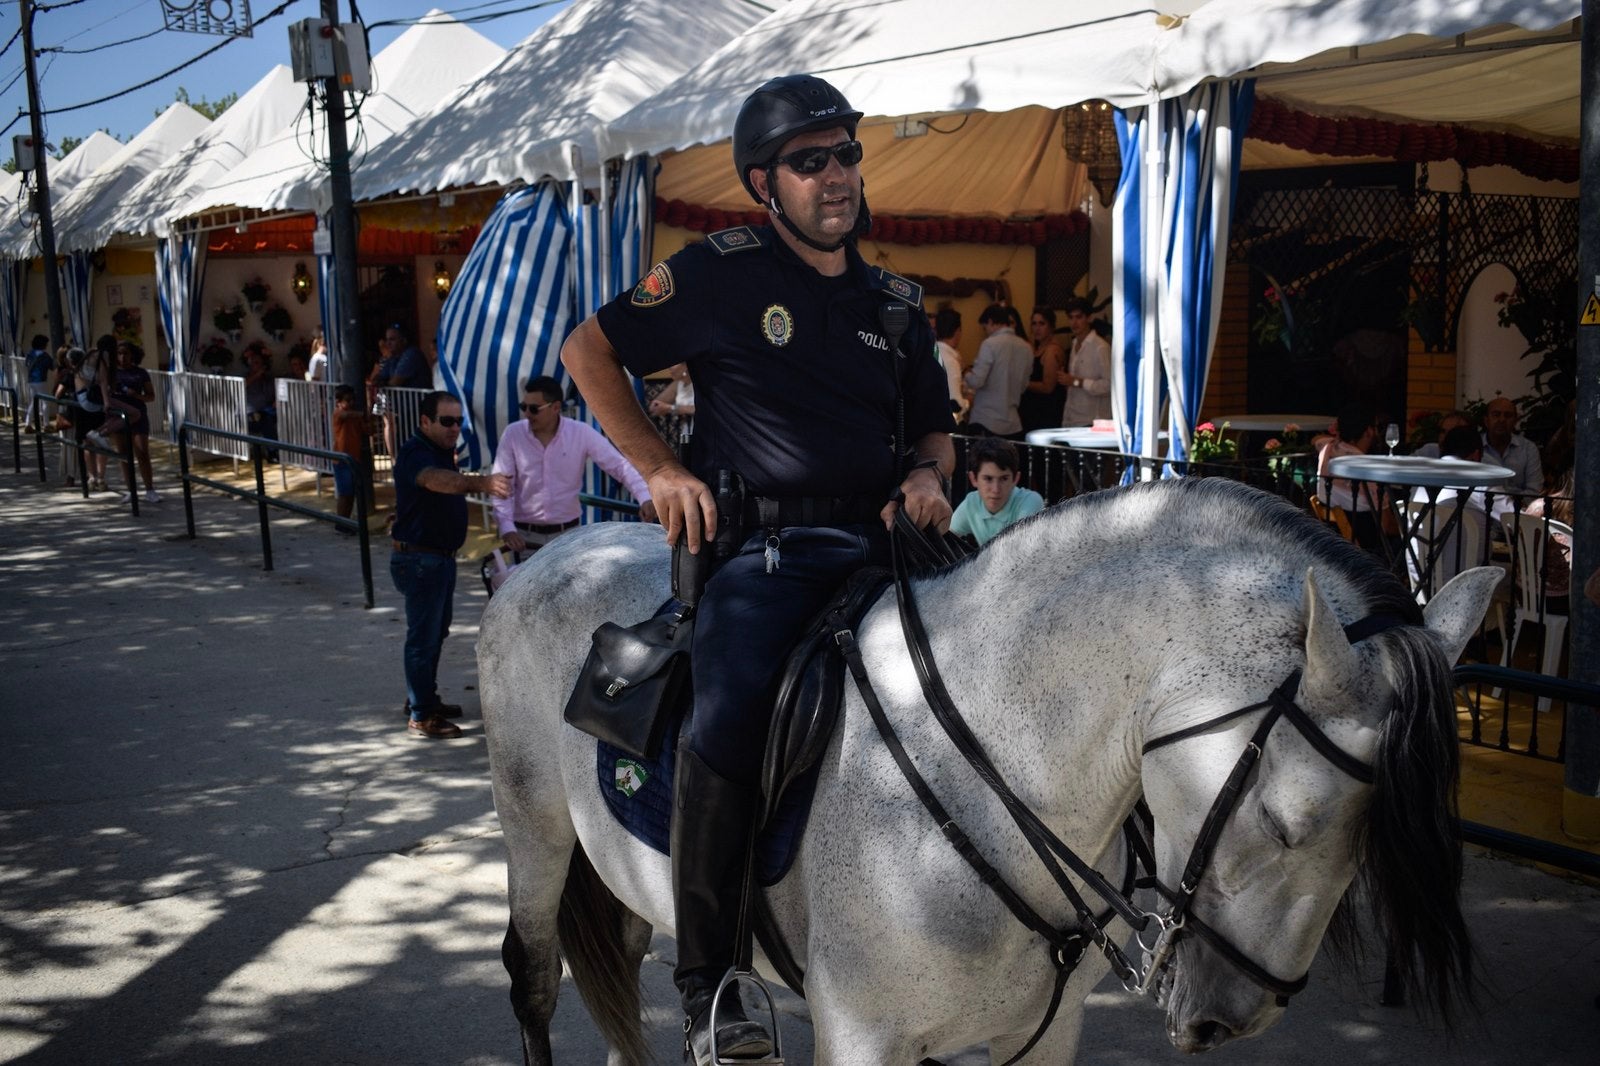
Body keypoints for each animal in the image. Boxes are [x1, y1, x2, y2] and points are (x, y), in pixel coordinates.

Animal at [473, 476, 1497, 1056]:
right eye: (1285, 824)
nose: (1233, 1018)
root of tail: (565, 544)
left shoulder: (1037, 1041)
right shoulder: (862, 1038)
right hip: (533, 825)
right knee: (535, 975)